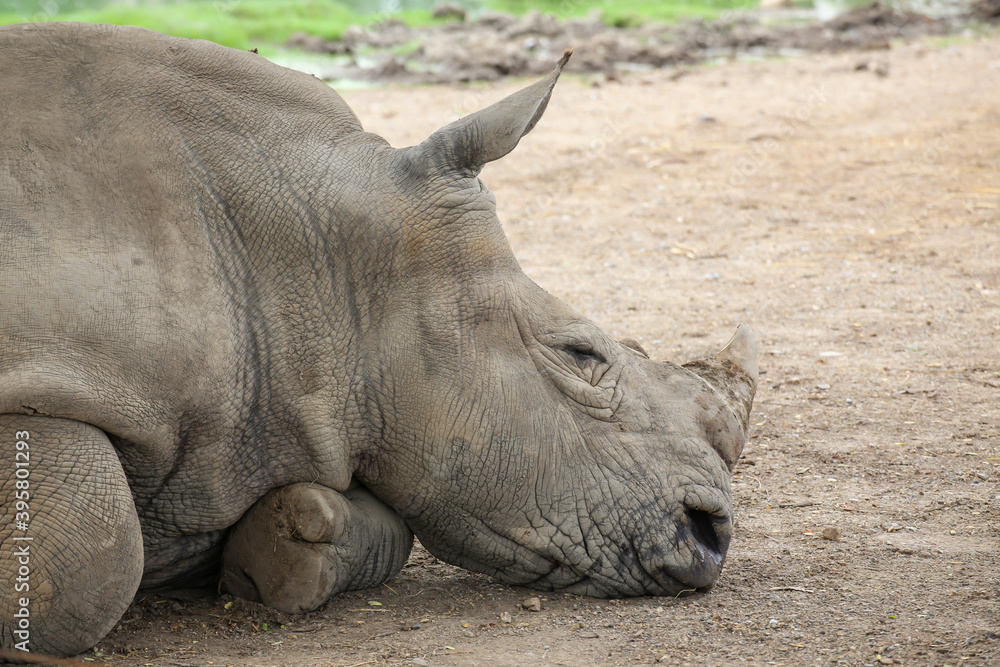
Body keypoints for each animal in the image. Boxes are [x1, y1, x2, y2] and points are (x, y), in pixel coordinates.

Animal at [0, 22, 757, 657]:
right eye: (582, 354)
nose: (712, 536)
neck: (311, 259)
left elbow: (390, 525)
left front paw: (284, 548)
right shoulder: (52, 373)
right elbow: (91, 555)